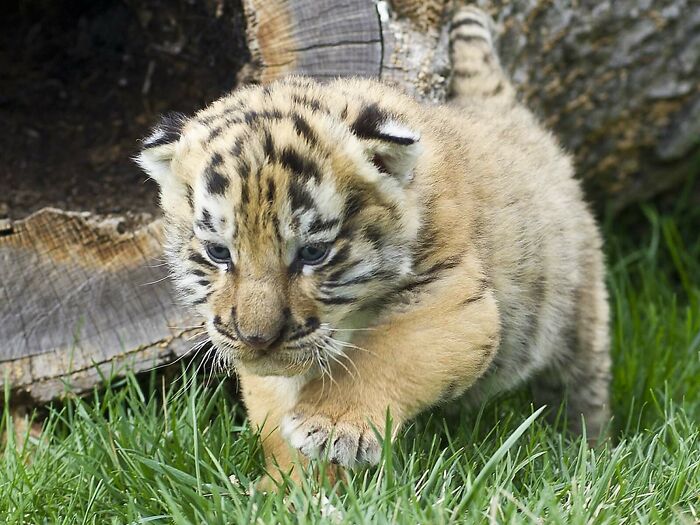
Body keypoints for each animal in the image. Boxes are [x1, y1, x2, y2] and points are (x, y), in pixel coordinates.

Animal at [136, 5, 610, 488]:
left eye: (312, 253)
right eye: (219, 253)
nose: (257, 339)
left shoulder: (455, 296)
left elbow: (387, 353)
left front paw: (332, 425)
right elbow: (276, 409)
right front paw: (288, 487)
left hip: (579, 309)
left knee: (583, 387)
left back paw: (585, 452)